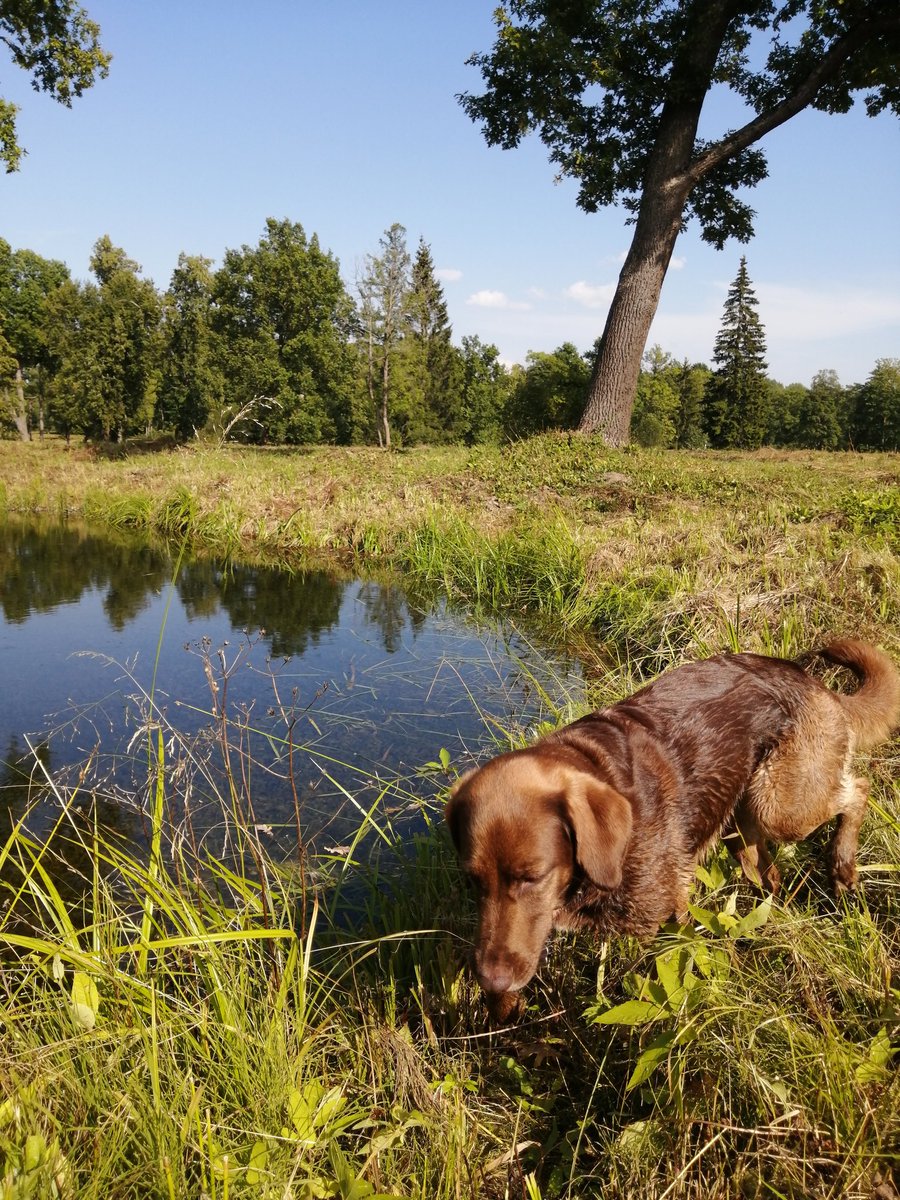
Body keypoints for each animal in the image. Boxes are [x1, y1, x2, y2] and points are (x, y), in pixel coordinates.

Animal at [448, 643, 897, 1017]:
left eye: (533, 878)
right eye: (472, 881)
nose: (489, 981)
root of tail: (811, 679)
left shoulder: (669, 915)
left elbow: (678, 967)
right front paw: (504, 1011)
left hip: (782, 807)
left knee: (858, 791)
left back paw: (842, 865)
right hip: (742, 828)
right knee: (768, 873)